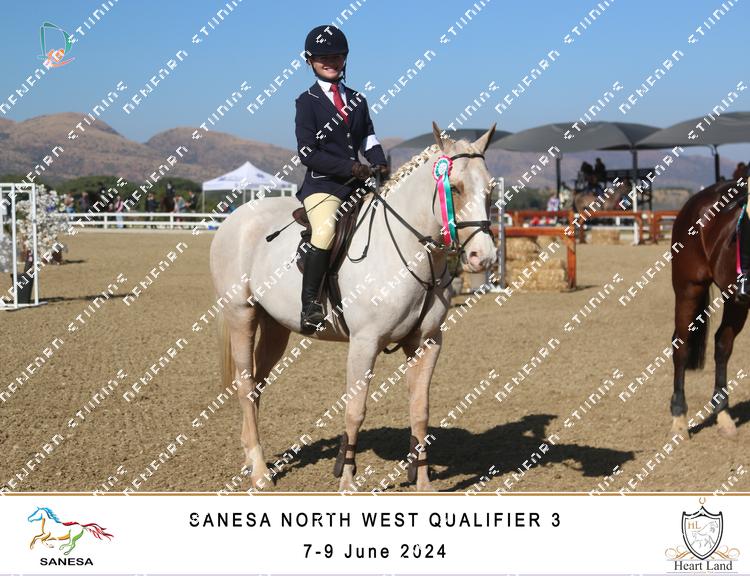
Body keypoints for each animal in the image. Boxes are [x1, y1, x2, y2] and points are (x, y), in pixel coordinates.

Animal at [209, 122, 498, 491]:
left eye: (490, 189)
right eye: (457, 188)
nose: (483, 258)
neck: (407, 250)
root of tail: (236, 218)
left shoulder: (427, 342)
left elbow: (421, 411)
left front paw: (423, 483)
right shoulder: (364, 343)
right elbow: (355, 410)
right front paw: (347, 481)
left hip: (274, 326)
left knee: (258, 385)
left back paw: (250, 458)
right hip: (240, 315)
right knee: (246, 385)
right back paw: (260, 472)